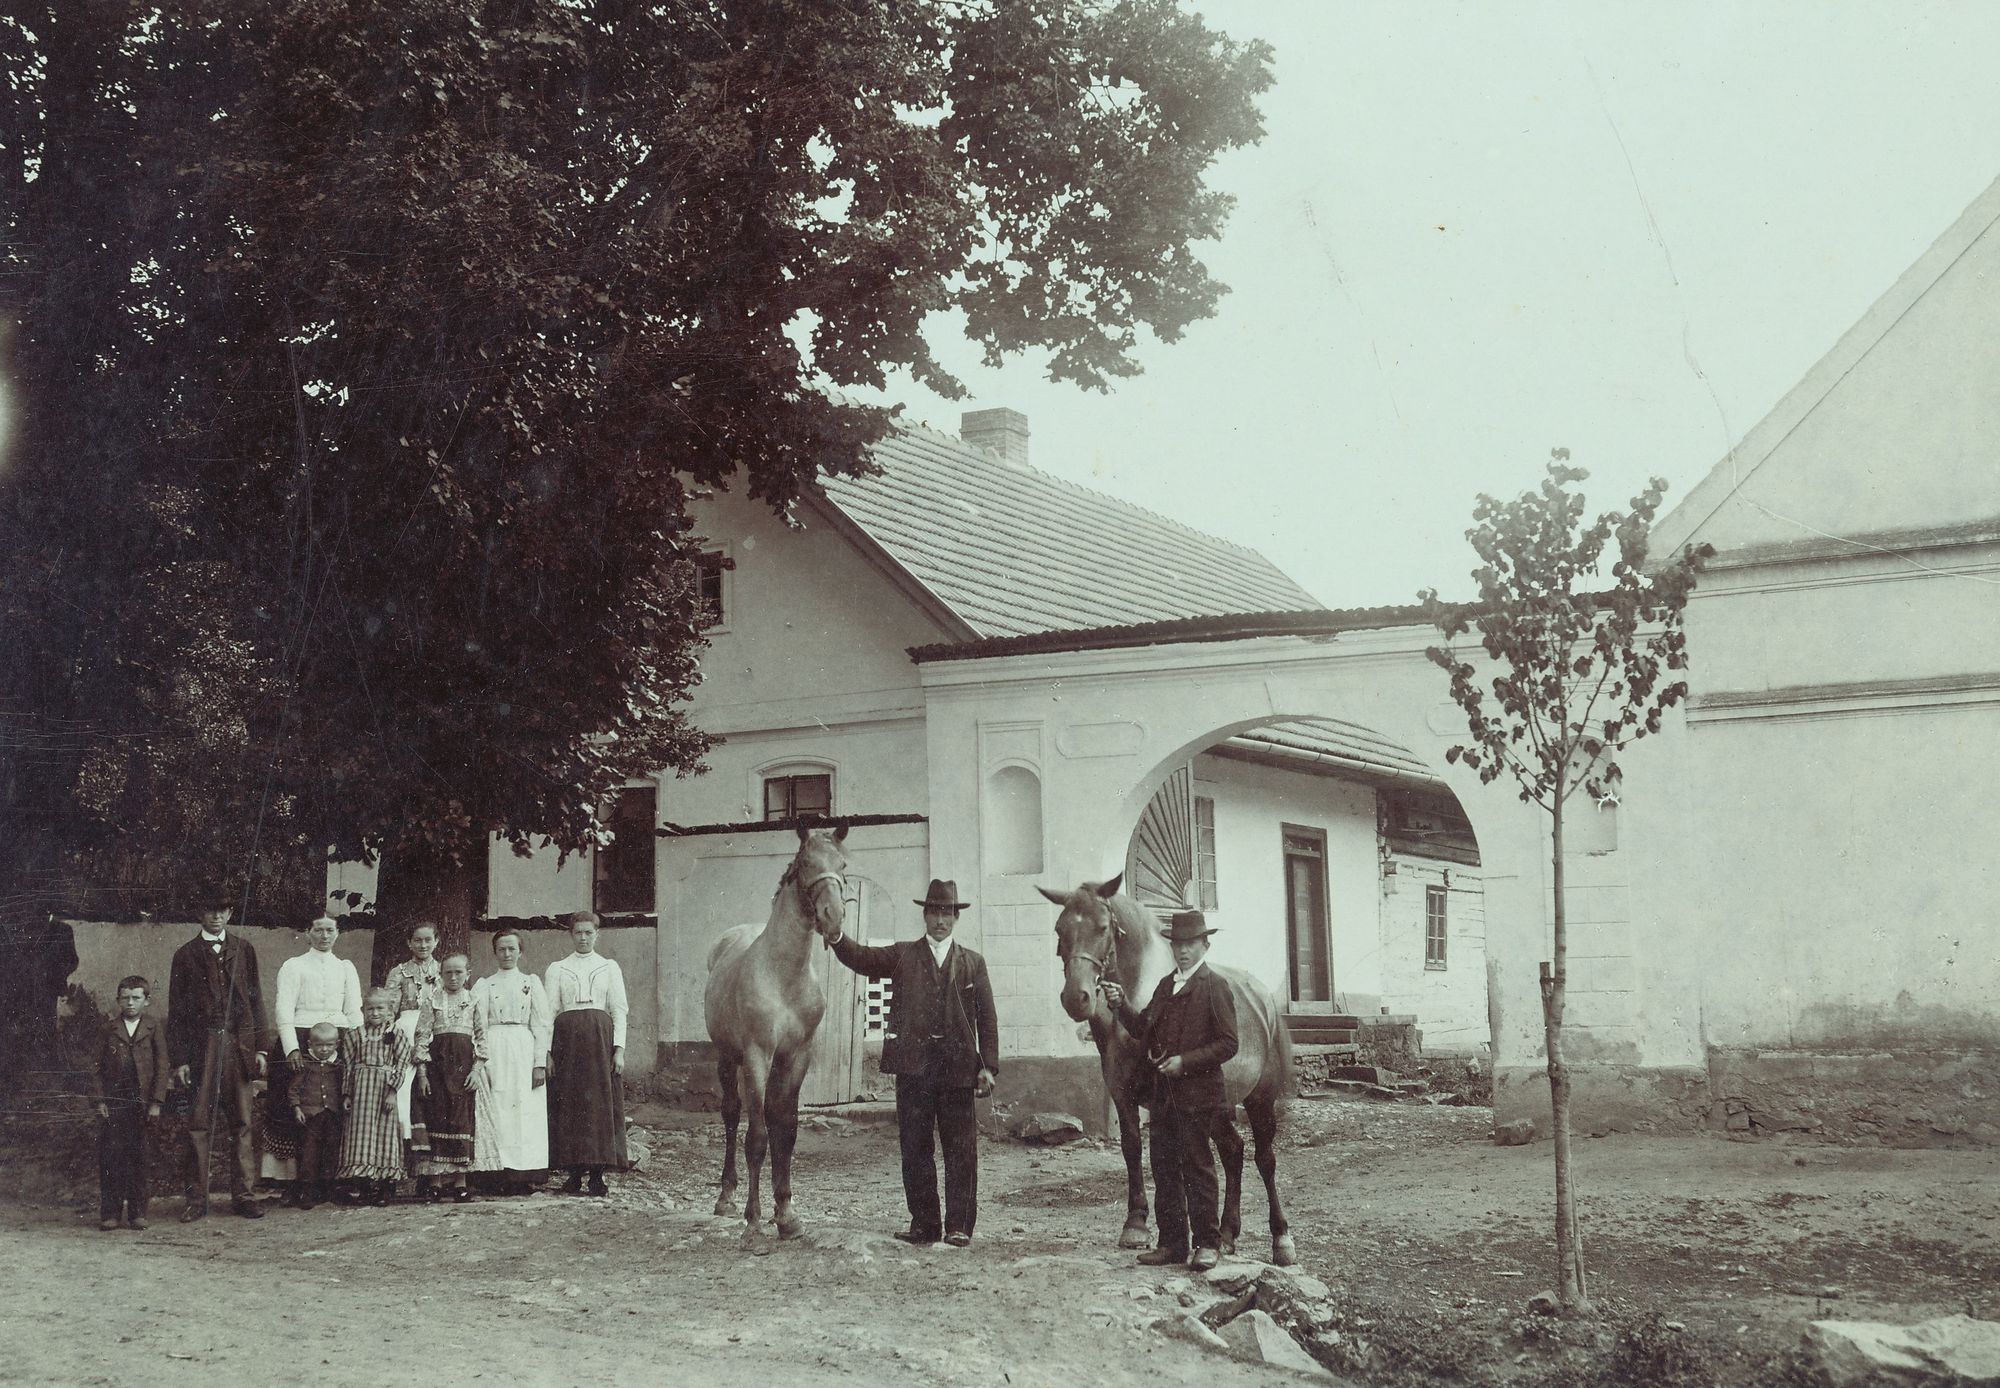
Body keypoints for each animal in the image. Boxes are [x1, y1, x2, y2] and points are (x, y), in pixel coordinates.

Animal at [704, 824, 848, 1239]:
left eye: (843, 865)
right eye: (806, 863)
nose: (834, 917)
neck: (784, 974)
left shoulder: (797, 1055)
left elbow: (786, 1129)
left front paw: (785, 1214)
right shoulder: (757, 1054)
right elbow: (756, 1137)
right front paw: (754, 1220)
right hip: (728, 1058)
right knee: (733, 1115)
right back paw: (726, 1198)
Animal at [1038, 875, 1297, 1266]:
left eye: (1103, 927)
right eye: (1059, 929)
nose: (1076, 998)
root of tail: (1263, 998)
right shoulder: (1123, 1096)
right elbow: (1134, 1149)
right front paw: (1137, 1225)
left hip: (1259, 1100)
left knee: (1264, 1159)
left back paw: (1280, 1239)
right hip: (1217, 1107)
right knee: (1233, 1152)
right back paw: (1226, 1234)